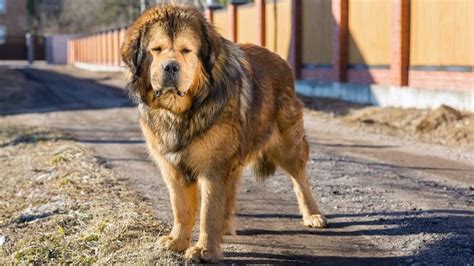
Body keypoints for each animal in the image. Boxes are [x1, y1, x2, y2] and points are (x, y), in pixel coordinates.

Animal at [121, 4, 326, 264]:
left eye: (186, 50)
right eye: (156, 50)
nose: (170, 66)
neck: (180, 113)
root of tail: (280, 60)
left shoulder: (213, 167)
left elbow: (209, 211)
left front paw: (204, 250)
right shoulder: (172, 167)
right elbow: (181, 208)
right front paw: (177, 241)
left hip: (288, 145)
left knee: (300, 179)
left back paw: (313, 215)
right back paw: (227, 225)